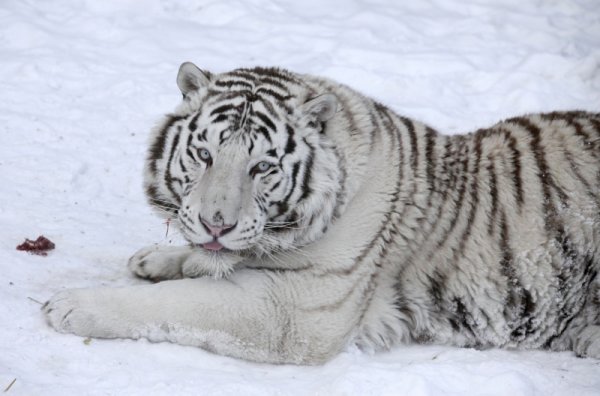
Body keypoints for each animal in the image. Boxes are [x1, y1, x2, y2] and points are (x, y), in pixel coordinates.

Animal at [43, 62, 600, 366]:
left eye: (262, 167)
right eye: (204, 155)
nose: (217, 223)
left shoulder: (296, 311)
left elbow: (181, 304)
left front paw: (70, 305)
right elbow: (206, 263)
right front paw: (157, 258)